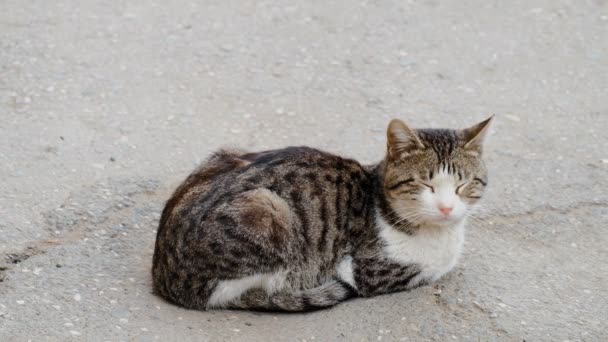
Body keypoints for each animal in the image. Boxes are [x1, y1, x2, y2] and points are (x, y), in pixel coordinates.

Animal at [152, 116, 494, 312]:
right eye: (425, 184)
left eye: (463, 184)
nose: (447, 208)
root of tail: (165, 277)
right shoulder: (365, 270)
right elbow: (432, 269)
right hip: (267, 212)